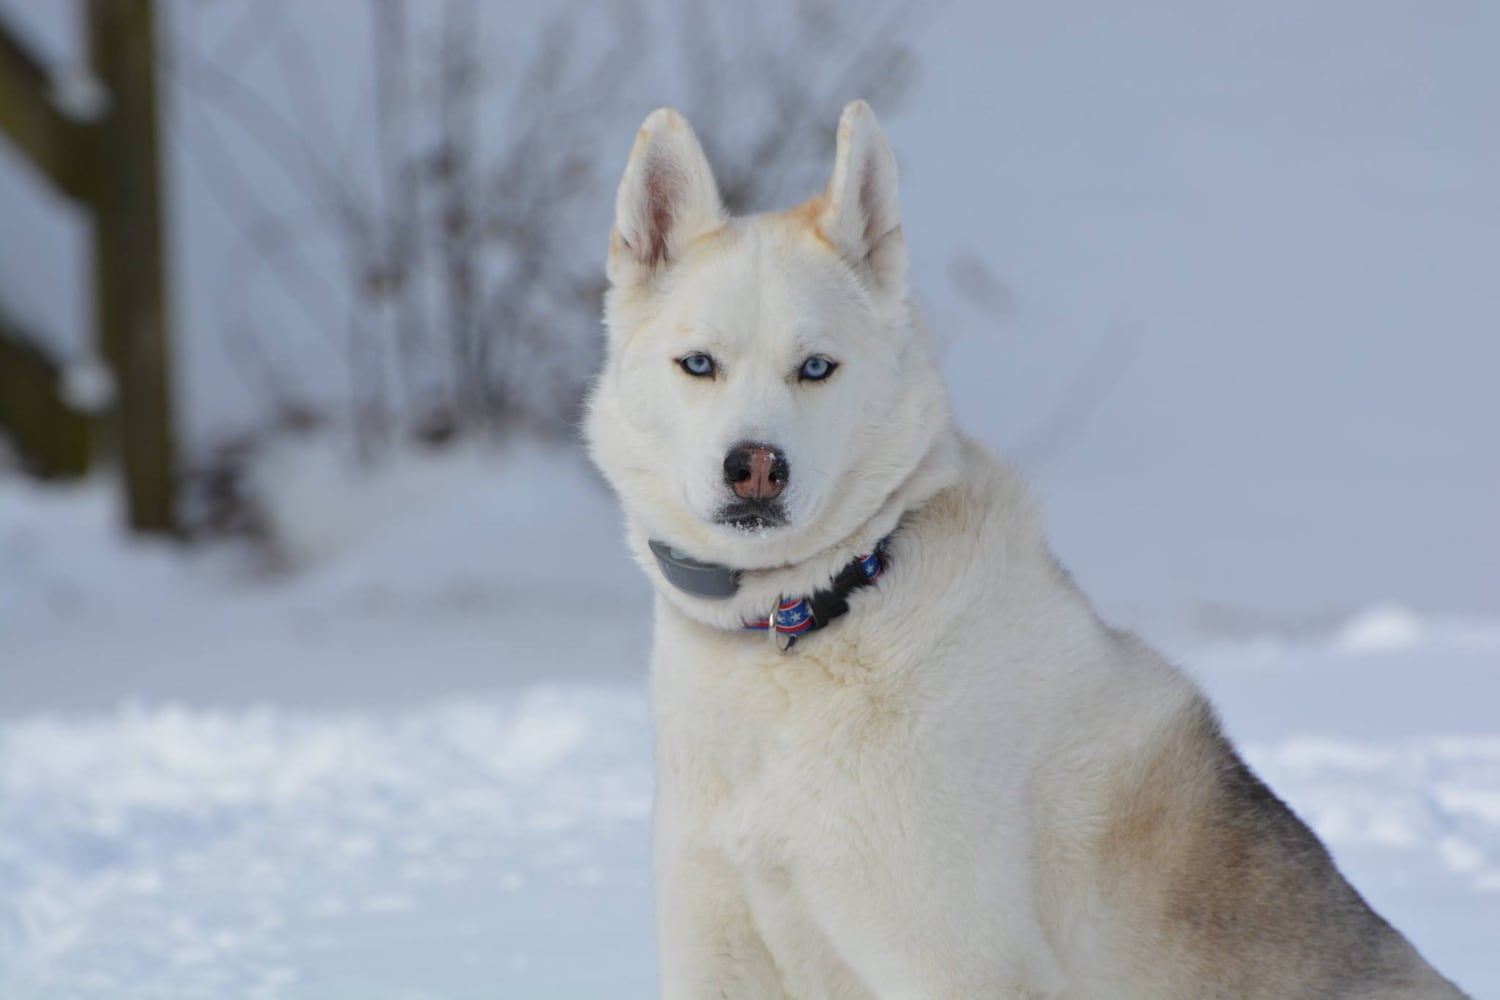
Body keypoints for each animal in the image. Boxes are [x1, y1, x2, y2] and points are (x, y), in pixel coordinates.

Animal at [582, 97, 1464, 995]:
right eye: (698, 364)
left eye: (817, 368)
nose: (756, 467)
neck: (814, 614)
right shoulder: (717, 954)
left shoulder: (955, 964)